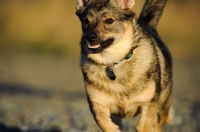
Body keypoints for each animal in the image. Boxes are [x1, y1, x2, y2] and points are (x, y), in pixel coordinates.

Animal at [76, 0, 173, 131]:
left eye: (109, 21)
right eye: (86, 20)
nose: (90, 37)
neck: (113, 62)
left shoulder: (148, 103)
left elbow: (142, 126)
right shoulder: (98, 104)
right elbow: (104, 122)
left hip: (160, 110)